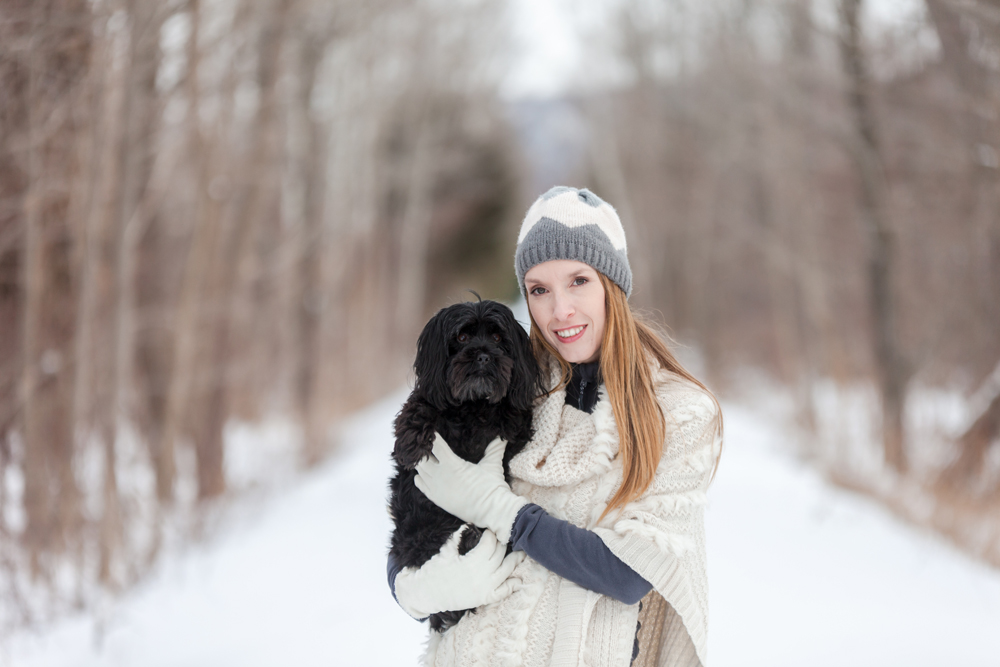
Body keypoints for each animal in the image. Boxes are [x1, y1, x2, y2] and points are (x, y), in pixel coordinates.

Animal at [388, 300, 544, 636]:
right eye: (461, 337)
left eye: (498, 338)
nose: (483, 355)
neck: (474, 405)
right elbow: (419, 405)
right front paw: (410, 442)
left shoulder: (514, 426)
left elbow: (512, 414)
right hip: (417, 529)